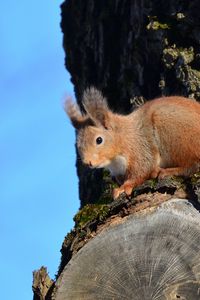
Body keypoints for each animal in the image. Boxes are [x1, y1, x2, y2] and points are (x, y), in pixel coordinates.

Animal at [65, 86, 200, 199]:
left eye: (99, 140)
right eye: (78, 145)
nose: (88, 163)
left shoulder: (140, 147)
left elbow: (142, 169)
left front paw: (124, 188)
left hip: (174, 132)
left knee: (192, 165)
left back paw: (167, 171)